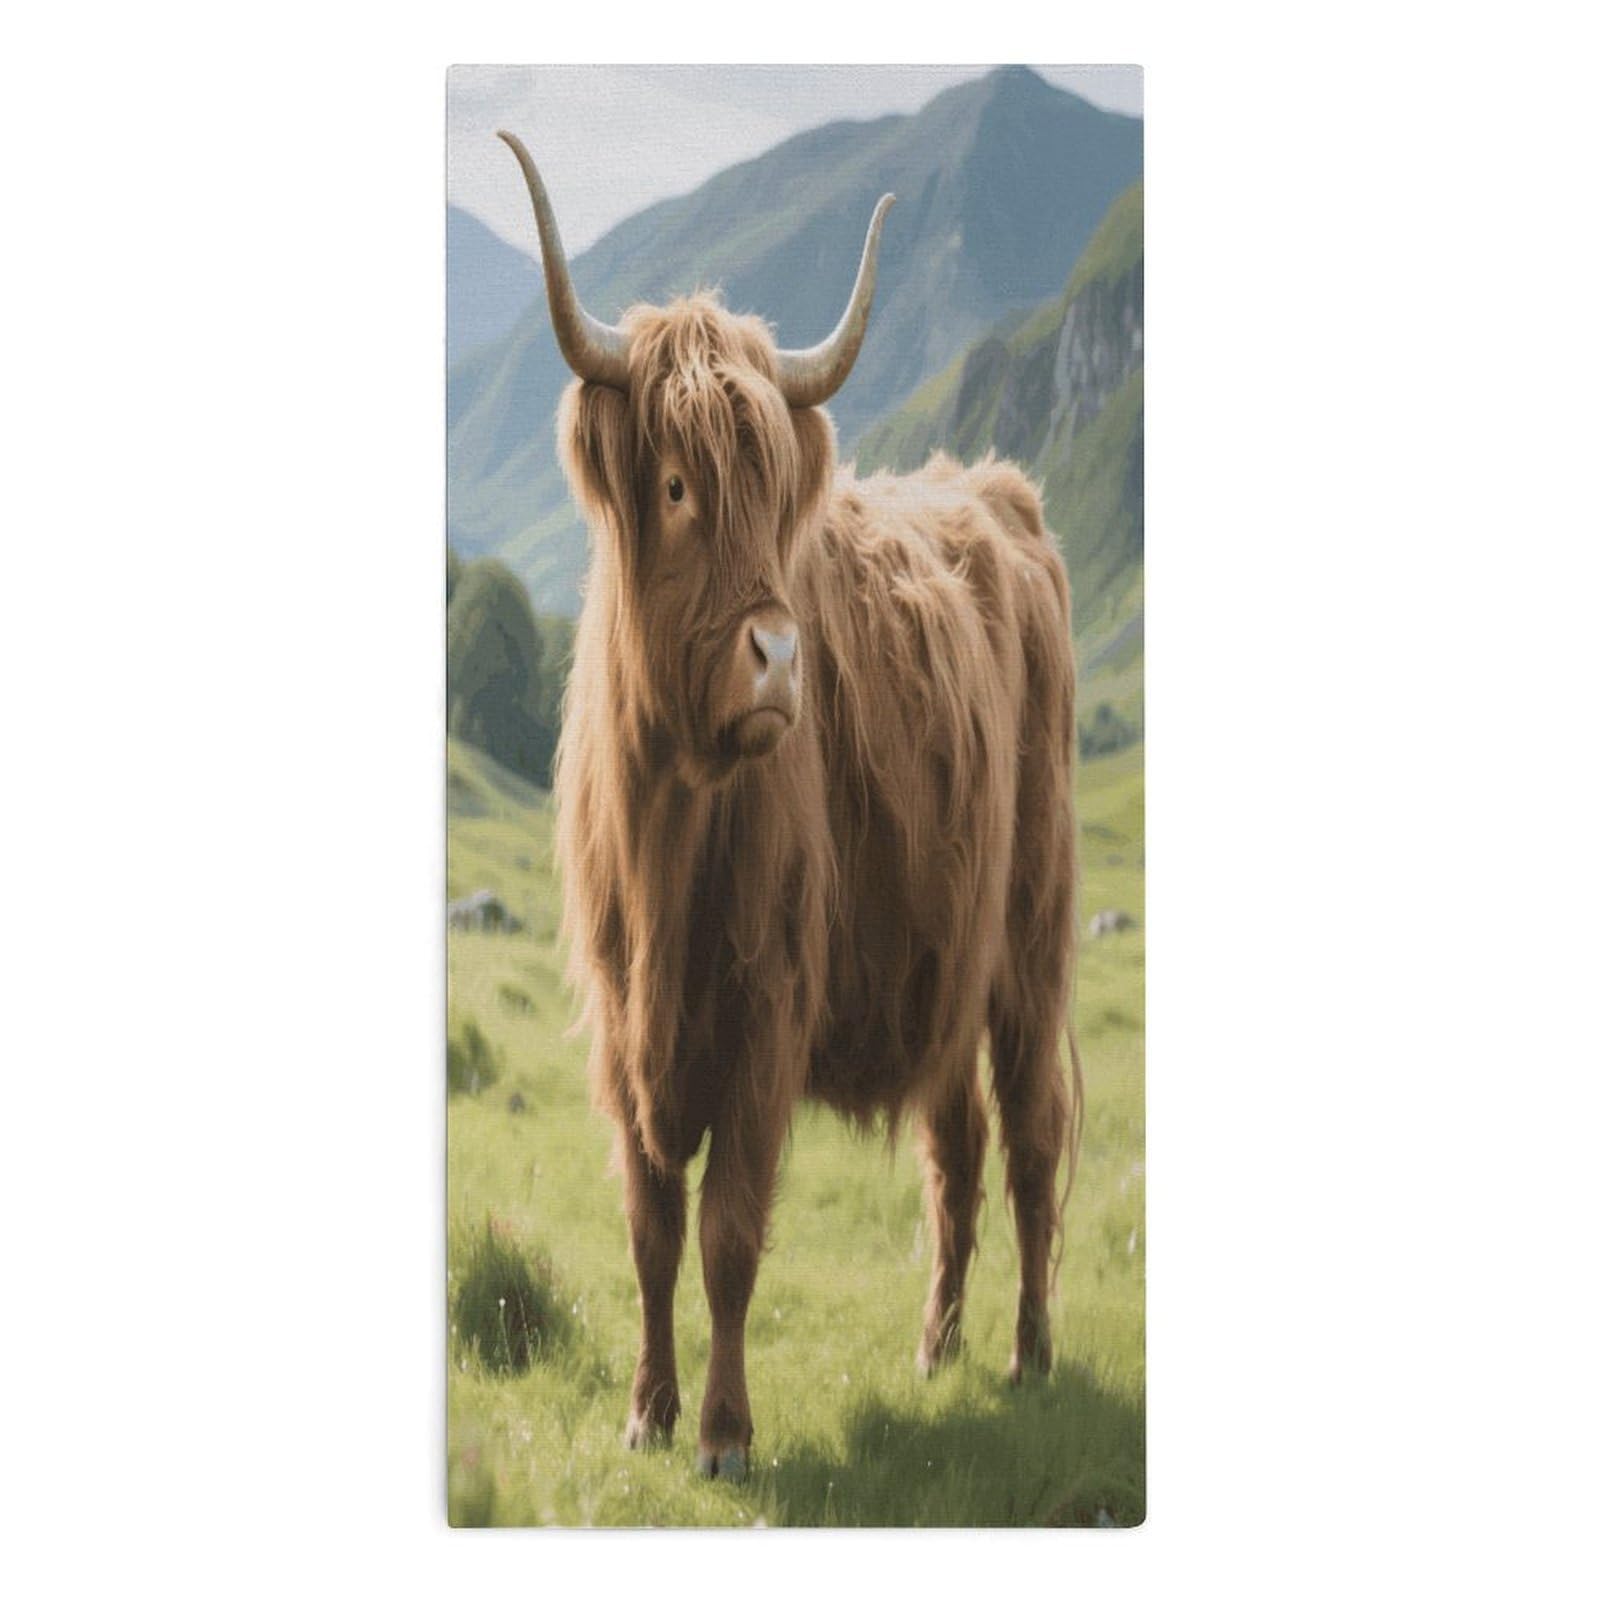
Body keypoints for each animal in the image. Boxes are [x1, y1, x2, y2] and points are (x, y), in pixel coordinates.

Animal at [499, 133, 1084, 1480]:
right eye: (673, 485)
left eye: (775, 500)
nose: (781, 660)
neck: (671, 824)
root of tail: (999, 495)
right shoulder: (623, 1019)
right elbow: (650, 1224)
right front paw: (648, 1412)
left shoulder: (768, 1000)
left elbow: (726, 1229)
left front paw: (722, 1432)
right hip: (947, 948)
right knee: (955, 1150)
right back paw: (936, 1347)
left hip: (1031, 940)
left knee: (1029, 1138)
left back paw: (1026, 1354)